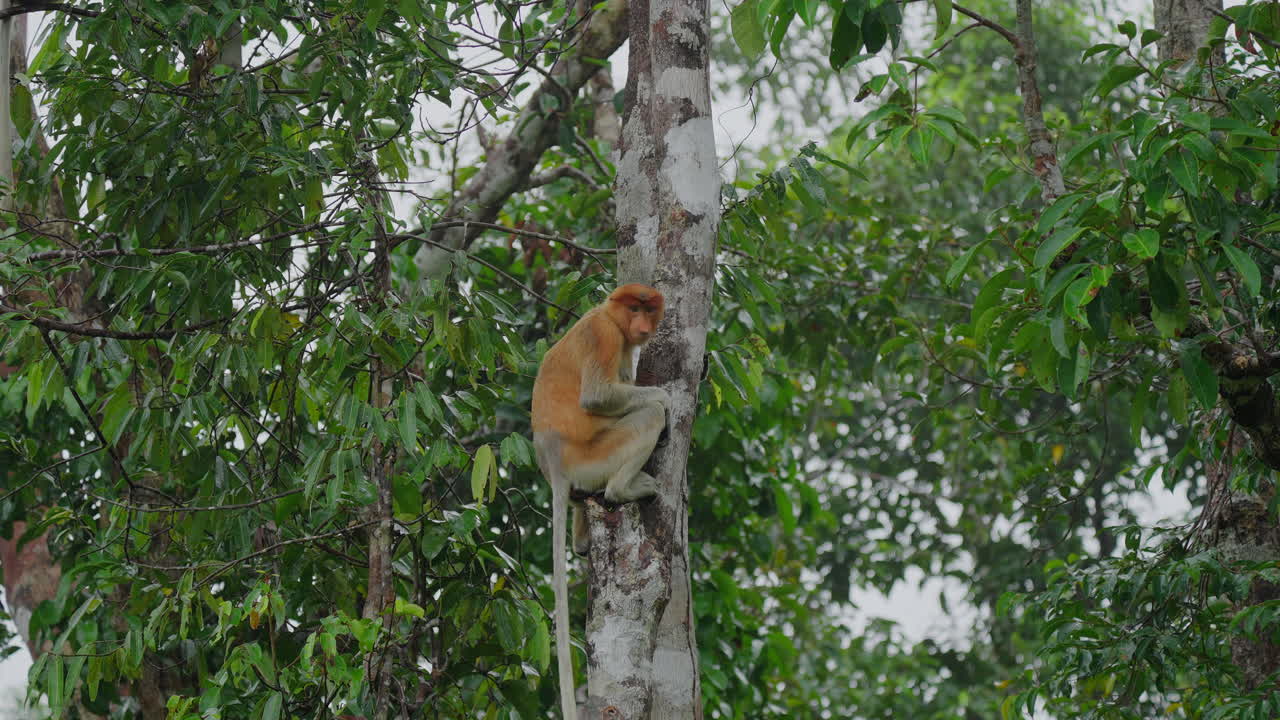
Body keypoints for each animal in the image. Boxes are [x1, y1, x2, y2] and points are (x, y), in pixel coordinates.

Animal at [531, 283, 670, 720]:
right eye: (634, 309)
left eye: (648, 309)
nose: (643, 325)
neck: (609, 314)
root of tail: (555, 461)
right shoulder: (606, 337)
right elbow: (598, 397)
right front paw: (664, 394)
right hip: (595, 456)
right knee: (648, 414)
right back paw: (624, 489)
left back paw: (580, 536)